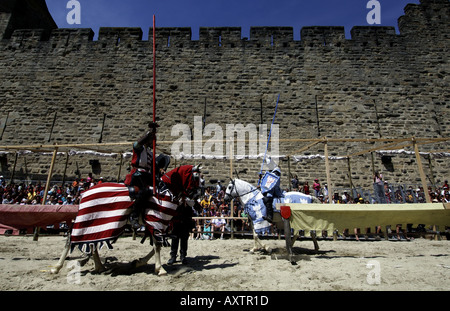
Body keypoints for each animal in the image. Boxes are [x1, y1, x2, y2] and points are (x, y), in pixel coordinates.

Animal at [49, 165, 202, 276]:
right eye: (196, 177)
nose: (197, 197)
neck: (165, 192)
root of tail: (85, 193)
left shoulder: (159, 226)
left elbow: (157, 246)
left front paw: (139, 262)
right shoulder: (156, 222)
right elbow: (158, 245)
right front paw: (160, 269)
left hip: (97, 223)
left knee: (92, 242)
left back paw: (100, 266)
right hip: (89, 220)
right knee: (71, 239)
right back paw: (56, 267)